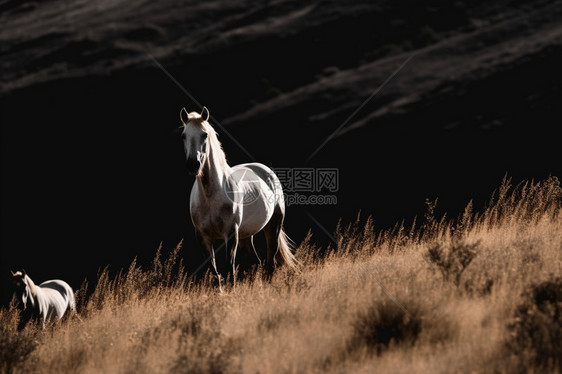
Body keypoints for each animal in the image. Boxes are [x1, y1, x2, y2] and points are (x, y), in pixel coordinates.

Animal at [180, 106, 298, 290]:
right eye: (184, 135)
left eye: (204, 134)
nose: (193, 164)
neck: (210, 196)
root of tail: (265, 170)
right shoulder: (203, 238)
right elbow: (214, 272)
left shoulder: (230, 235)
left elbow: (230, 268)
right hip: (245, 236)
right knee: (257, 263)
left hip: (273, 226)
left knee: (270, 263)